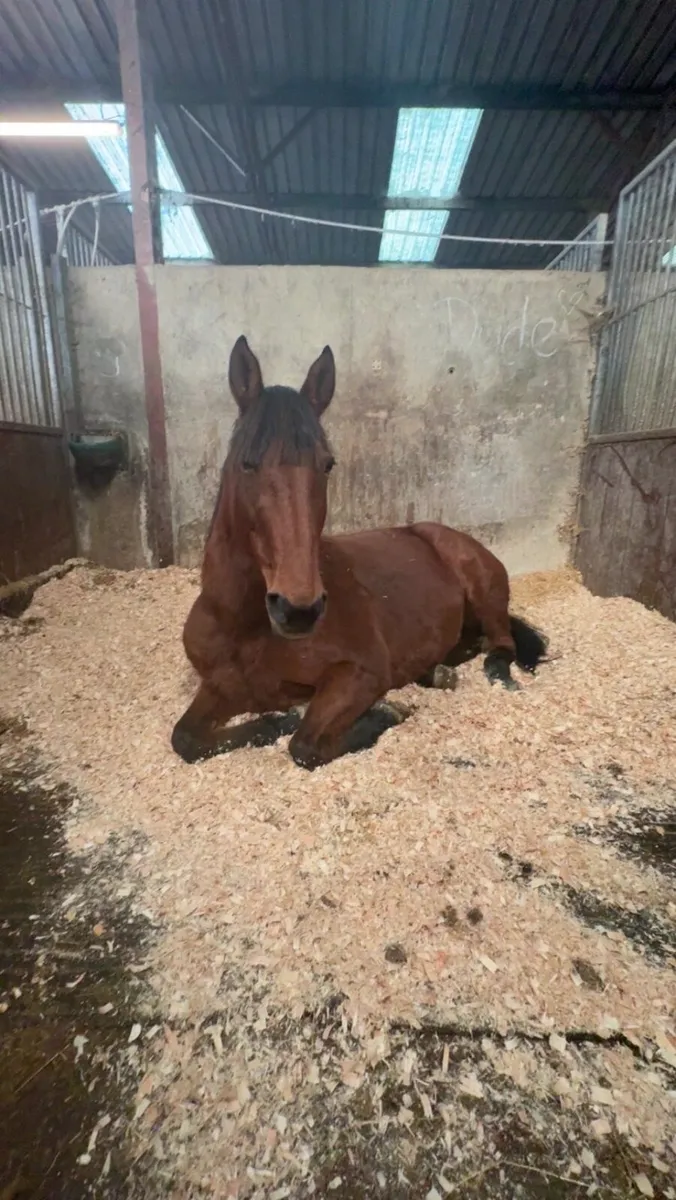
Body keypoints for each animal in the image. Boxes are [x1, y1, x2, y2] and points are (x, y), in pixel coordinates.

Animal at [172, 336, 548, 771]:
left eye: (328, 465)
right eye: (247, 463)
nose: (298, 609)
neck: (245, 625)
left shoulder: (361, 673)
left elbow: (305, 745)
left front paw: (385, 712)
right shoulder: (220, 686)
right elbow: (185, 738)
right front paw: (272, 723)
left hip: (483, 589)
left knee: (501, 643)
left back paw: (496, 673)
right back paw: (437, 672)